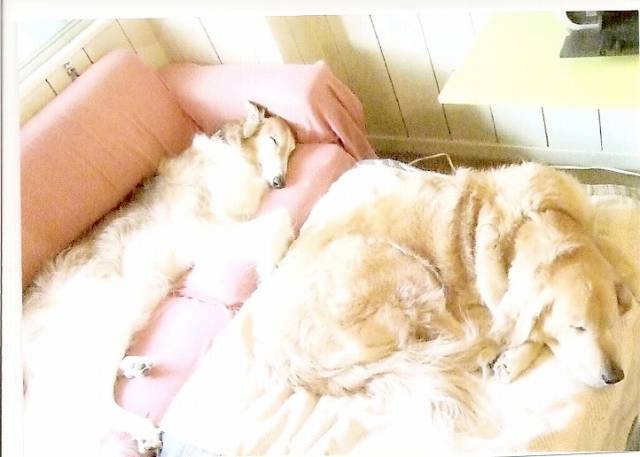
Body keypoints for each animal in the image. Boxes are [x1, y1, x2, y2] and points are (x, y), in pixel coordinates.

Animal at [21, 101, 296, 457]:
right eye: (274, 141)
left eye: (292, 150)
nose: (281, 183)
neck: (234, 156)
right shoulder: (201, 229)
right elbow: (280, 220)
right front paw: (270, 266)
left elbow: (277, 222)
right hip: (94, 331)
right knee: (90, 403)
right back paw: (144, 431)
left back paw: (132, 369)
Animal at [250, 161, 634, 430]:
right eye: (577, 328)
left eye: (611, 323)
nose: (615, 377)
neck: (531, 221)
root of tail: (280, 355)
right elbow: (522, 328)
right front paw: (513, 357)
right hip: (405, 270)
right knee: (456, 340)